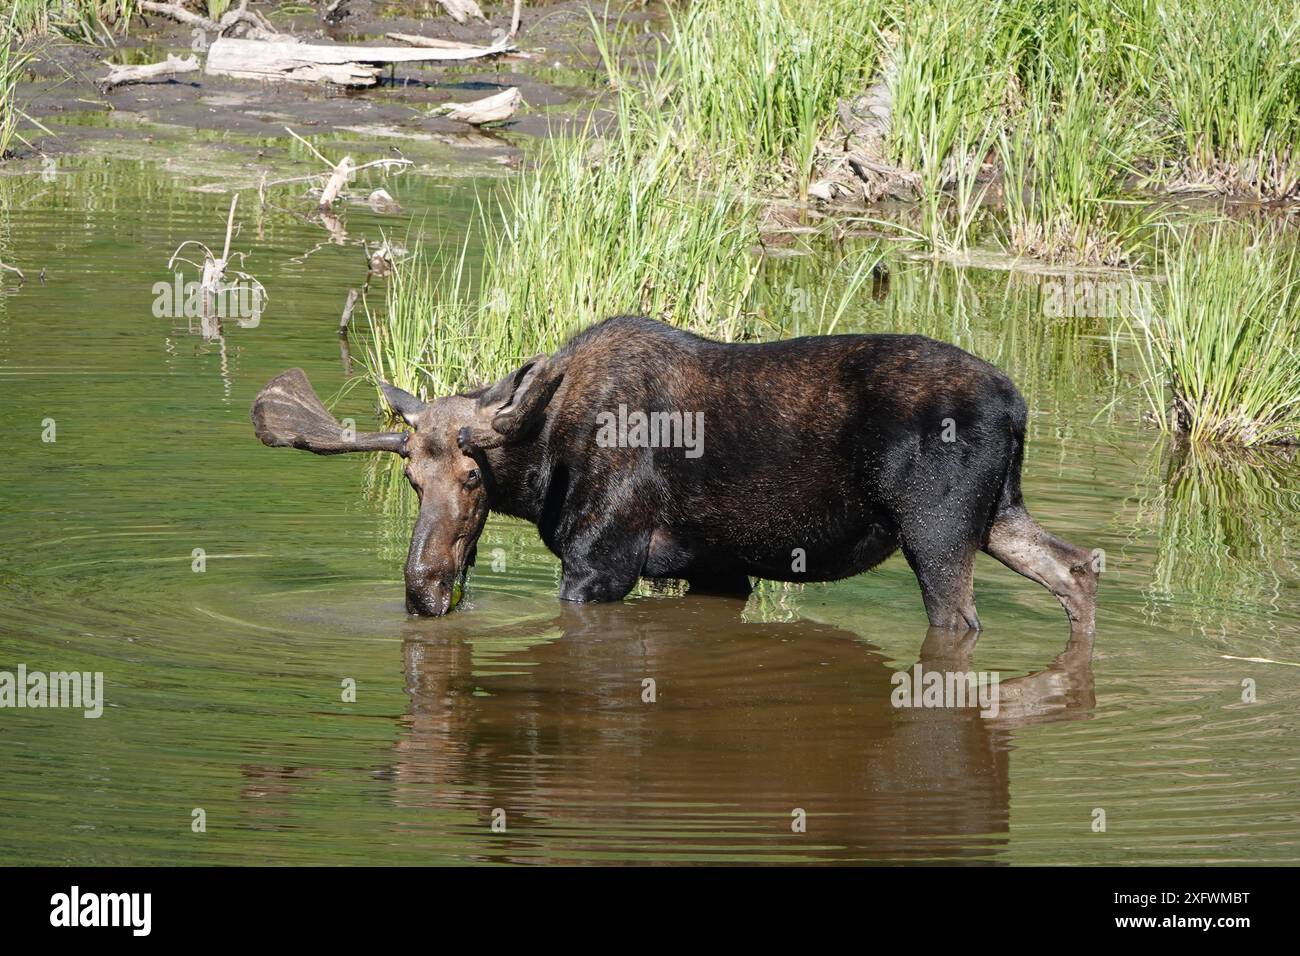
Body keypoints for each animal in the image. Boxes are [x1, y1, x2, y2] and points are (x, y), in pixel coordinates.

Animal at [245, 314, 1097, 629]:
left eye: (475, 477)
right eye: (409, 483)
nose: (423, 592)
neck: (545, 461)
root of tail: (1019, 405)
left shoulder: (600, 563)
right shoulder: (714, 567)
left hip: (938, 531)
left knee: (962, 621)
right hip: (1000, 516)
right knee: (1078, 569)